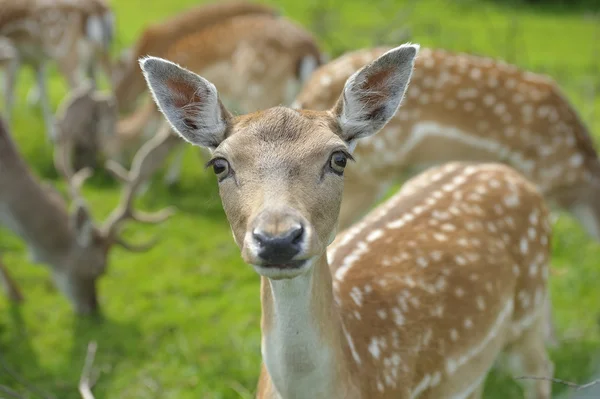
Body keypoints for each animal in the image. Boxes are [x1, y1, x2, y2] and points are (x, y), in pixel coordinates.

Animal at [0, 0, 114, 141]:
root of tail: (97, 8)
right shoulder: (36, 61)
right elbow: (42, 92)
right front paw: (51, 134)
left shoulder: (13, 57)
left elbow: (8, 95)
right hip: (98, 55)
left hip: (66, 55)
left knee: (81, 91)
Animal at [141, 43, 552, 399]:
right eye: (219, 164)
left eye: (339, 158)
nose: (278, 239)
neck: (358, 373)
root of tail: (509, 173)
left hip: (531, 311)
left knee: (542, 370)